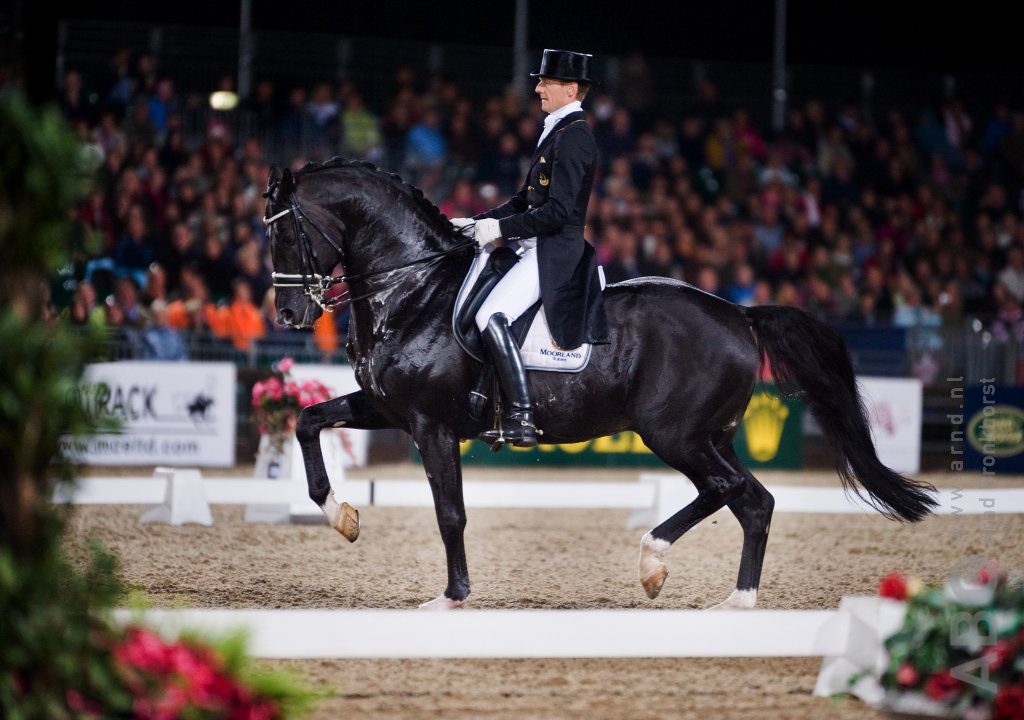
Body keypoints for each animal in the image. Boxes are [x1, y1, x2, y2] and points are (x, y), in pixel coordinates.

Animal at [264, 158, 937, 610]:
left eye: (286, 232)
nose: (290, 315)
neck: (413, 290)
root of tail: (740, 314)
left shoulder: (432, 426)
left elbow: (450, 513)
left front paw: (452, 596)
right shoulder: (388, 408)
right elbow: (307, 420)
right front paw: (342, 516)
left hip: (674, 435)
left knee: (726, 491)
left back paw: (653, 563)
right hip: (710, 436)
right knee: (754, 501)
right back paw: (735, 600)